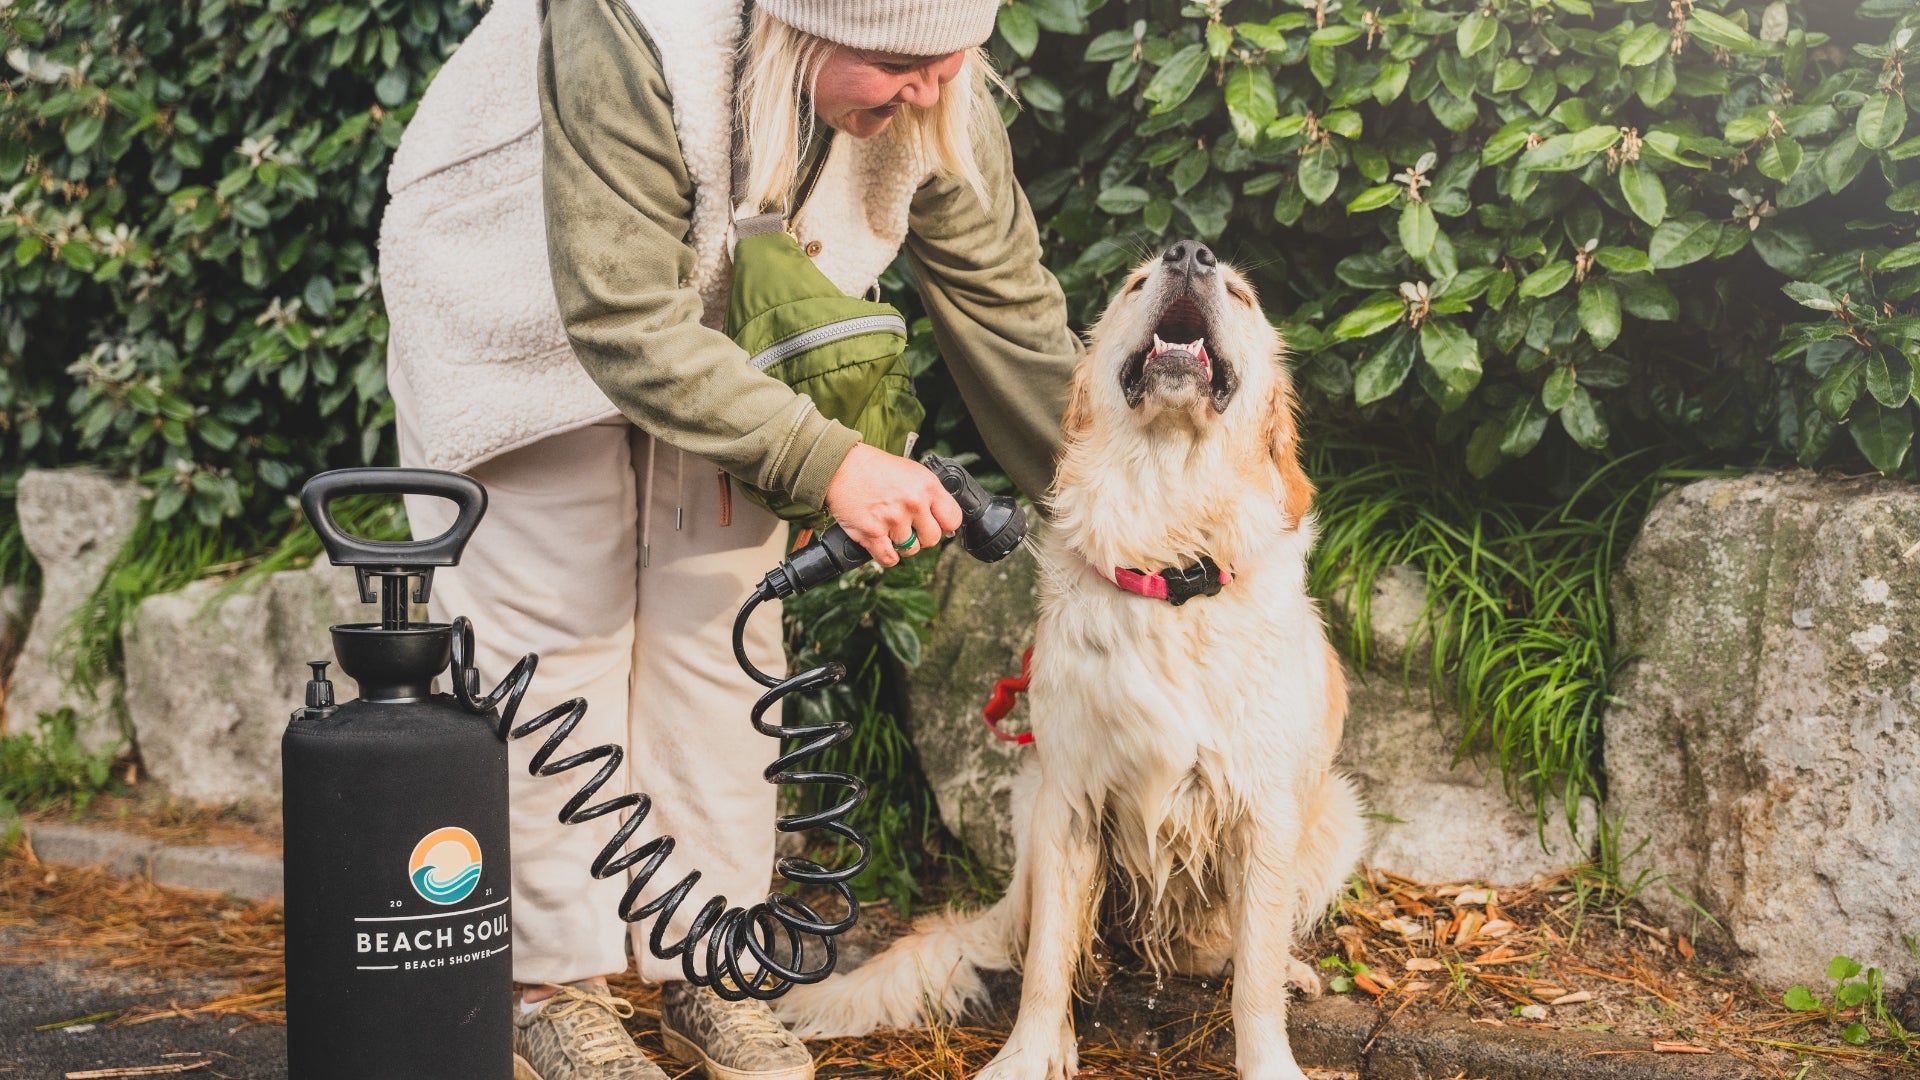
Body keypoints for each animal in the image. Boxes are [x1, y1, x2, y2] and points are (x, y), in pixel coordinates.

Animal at [771, 239, 1359, 1068]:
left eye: (1242, 295)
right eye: (1137, 283)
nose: (1190, 253)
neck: (1169, 562)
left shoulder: (1266, 808)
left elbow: (1254, 980)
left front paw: (1269, 1061)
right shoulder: (1070, 800)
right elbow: (1048, 963)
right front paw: (1025, 1059)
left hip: (1338, 811)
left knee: (1225, 950)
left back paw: (1286, 971)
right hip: (1032, 801)